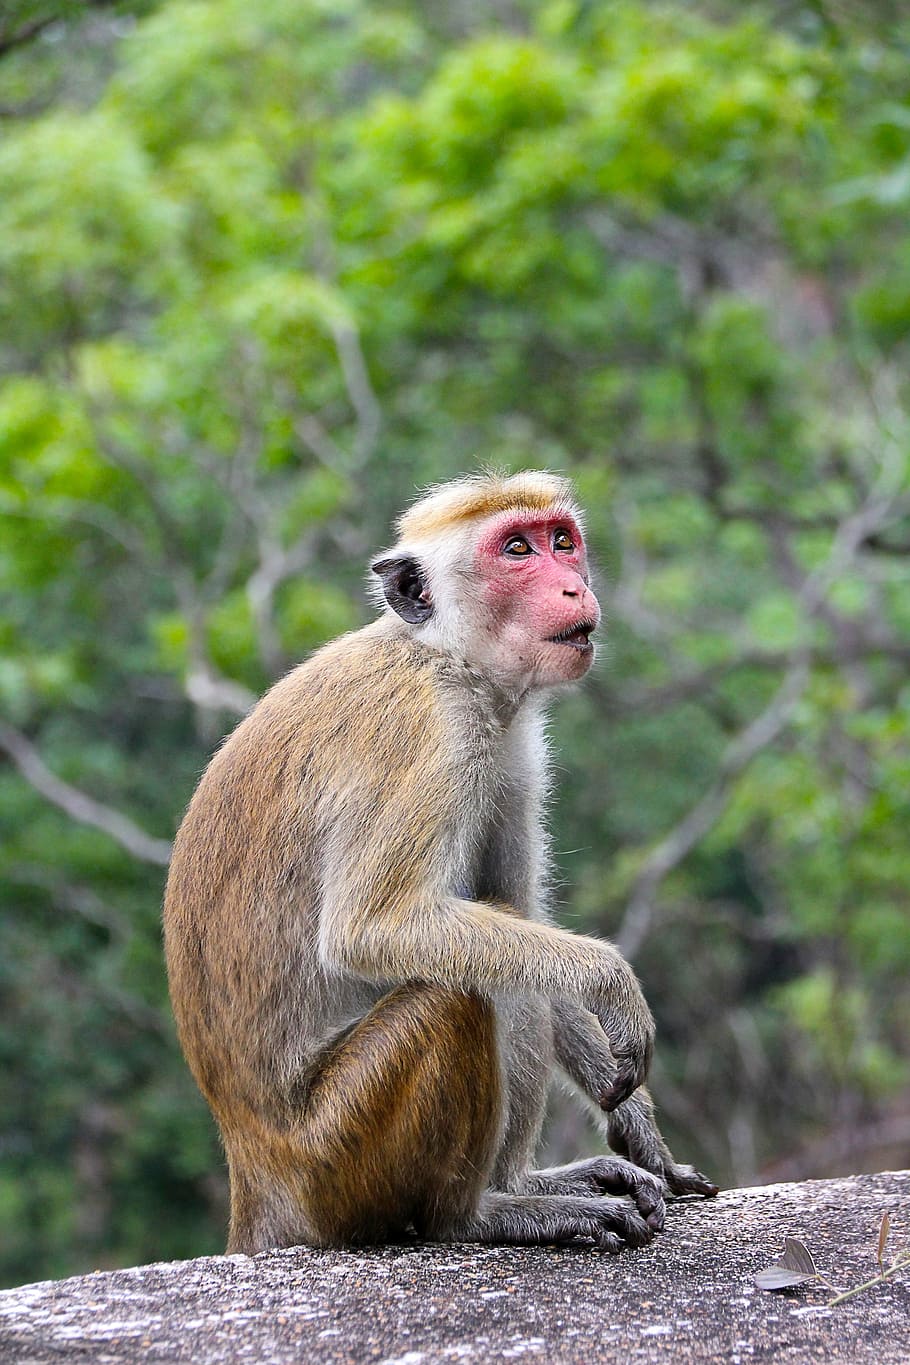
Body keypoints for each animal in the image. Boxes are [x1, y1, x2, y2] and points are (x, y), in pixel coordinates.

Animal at [164, 470, 717, 1256]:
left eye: (562, 541)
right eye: (515, 550)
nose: (575, 588)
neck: (445, 659)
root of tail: (256, 1171)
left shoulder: (513, 750)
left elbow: (514, 913)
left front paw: (634, 1116)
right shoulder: (427, 736)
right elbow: (376, 927)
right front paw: (611, 979)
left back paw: (528, 1184)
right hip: (336, 1155)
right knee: (459, 993)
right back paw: (479, 1214)